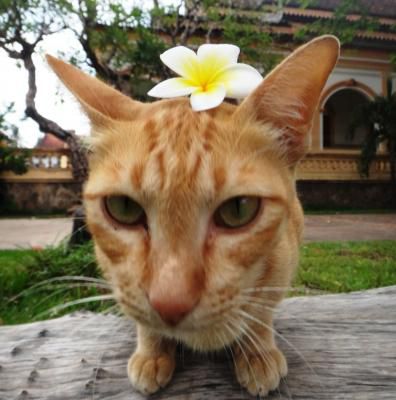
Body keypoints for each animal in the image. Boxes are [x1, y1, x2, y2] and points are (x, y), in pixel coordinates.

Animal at [48, 35, 340, 396]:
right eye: (123, 208)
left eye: (238, 209)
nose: (169, 304)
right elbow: (141, 318)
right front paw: (152, 351)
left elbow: (261, 310)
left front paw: (257, 351)